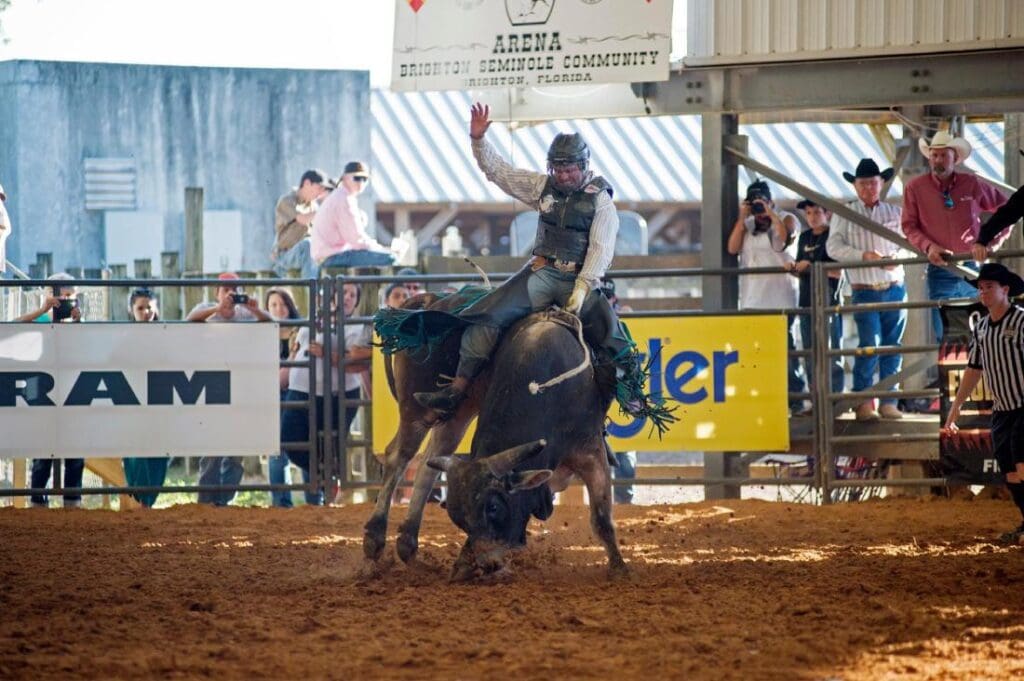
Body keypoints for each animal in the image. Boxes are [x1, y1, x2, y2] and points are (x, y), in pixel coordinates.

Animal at [427, 309, 628, 581]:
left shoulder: (590, 452)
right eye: (458, 518)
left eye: (493, 507)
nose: (487, 564)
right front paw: (463, 563)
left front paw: (619, 568)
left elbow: (601, 519)